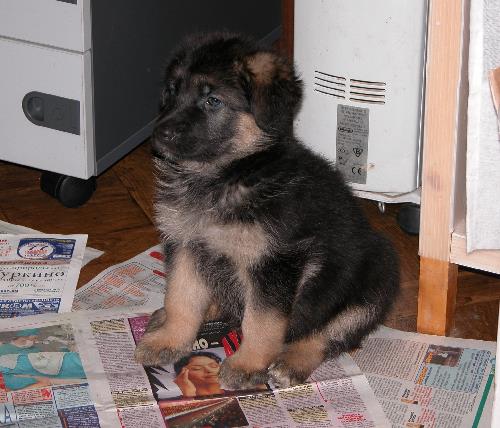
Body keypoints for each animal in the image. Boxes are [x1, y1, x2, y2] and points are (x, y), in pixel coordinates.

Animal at [134, 33, 398, 388]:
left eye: (213, 101)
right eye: (172, 90)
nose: (159, 135)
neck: (227, 175)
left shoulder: (274, 262)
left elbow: (262, 321)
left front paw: (248, 363)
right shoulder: (187, 244)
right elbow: (180, 298)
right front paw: (170, 339)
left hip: (377, 274)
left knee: (327, 334)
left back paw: (291, 362)